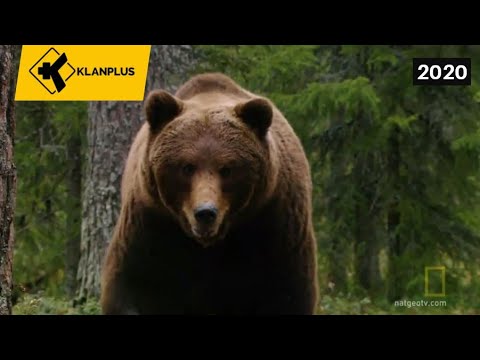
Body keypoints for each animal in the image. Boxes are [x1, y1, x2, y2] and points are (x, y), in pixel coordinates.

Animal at [100, 73, 318, 316]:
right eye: (187, 167)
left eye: (227, 169)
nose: (205, 212)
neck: (207, 246)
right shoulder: (150, 225)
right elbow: (130, 287)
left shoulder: (274, 223)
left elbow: (288, 292)